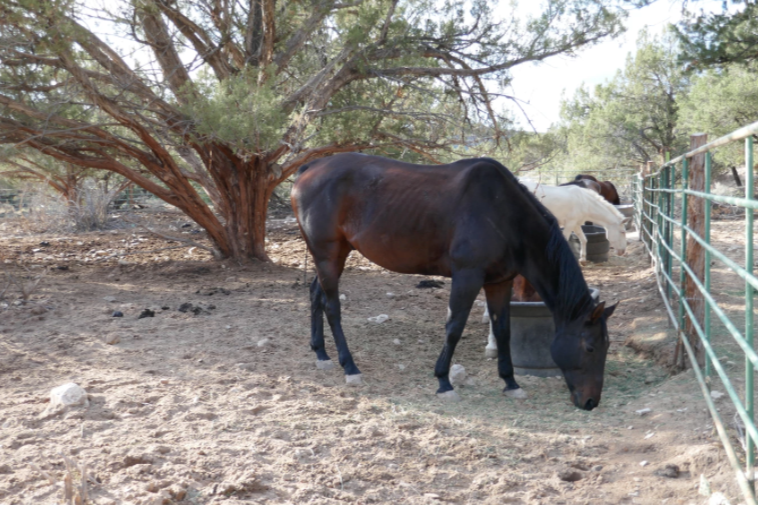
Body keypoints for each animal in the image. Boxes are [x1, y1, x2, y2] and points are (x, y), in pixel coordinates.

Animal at [291, 153, 617, 410]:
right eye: (590, 348)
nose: (591, 402)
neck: (503, 211)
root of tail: (310, 167)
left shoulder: (499, 282)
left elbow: (503, 331)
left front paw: (511, 383)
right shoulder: (467, 277)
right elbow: (454, 328)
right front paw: (443, 382)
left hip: (335, 254)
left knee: (315, 295)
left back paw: (321, 353)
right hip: (327, 254)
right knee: (332, 307)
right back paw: (350, 367)